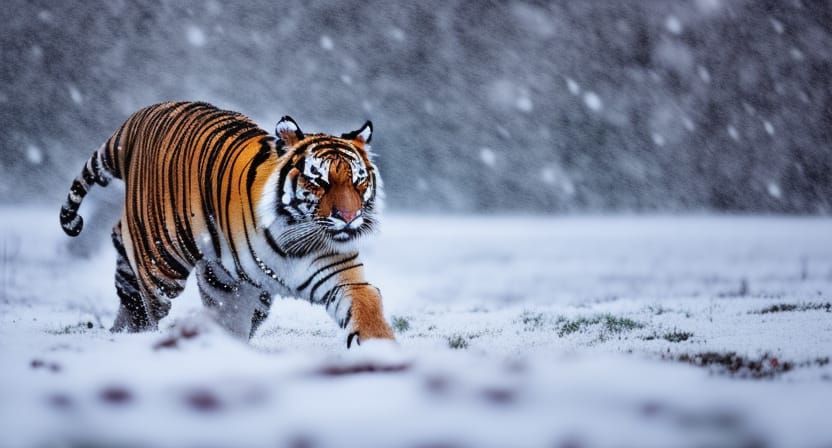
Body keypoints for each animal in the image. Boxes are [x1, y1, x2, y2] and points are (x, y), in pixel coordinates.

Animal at [59, 101, 394, 347]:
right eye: (319, 181)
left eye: (358, 181)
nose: (349, 217)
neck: (293, 239)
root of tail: (138, 119)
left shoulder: (341, 276)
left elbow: (366, 310)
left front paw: (379, 352)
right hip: (160, 263)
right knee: (146, 308)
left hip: (219, 280)